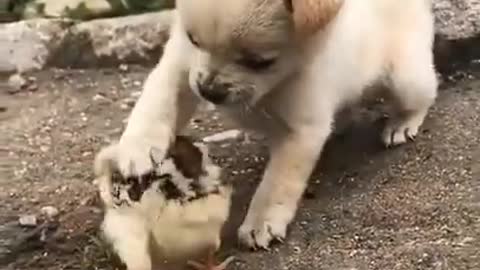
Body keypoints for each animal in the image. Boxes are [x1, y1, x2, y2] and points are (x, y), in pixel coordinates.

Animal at [94, 0, 438, 249]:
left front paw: (262, 222)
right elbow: (156, 105)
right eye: (194, 40)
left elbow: (277, 184)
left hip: (404, 78)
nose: (208, 91)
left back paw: (402, 123)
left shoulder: (301, 131)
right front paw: (135, 149)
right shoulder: (180, 68)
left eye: (259, 62)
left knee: (425, 91)